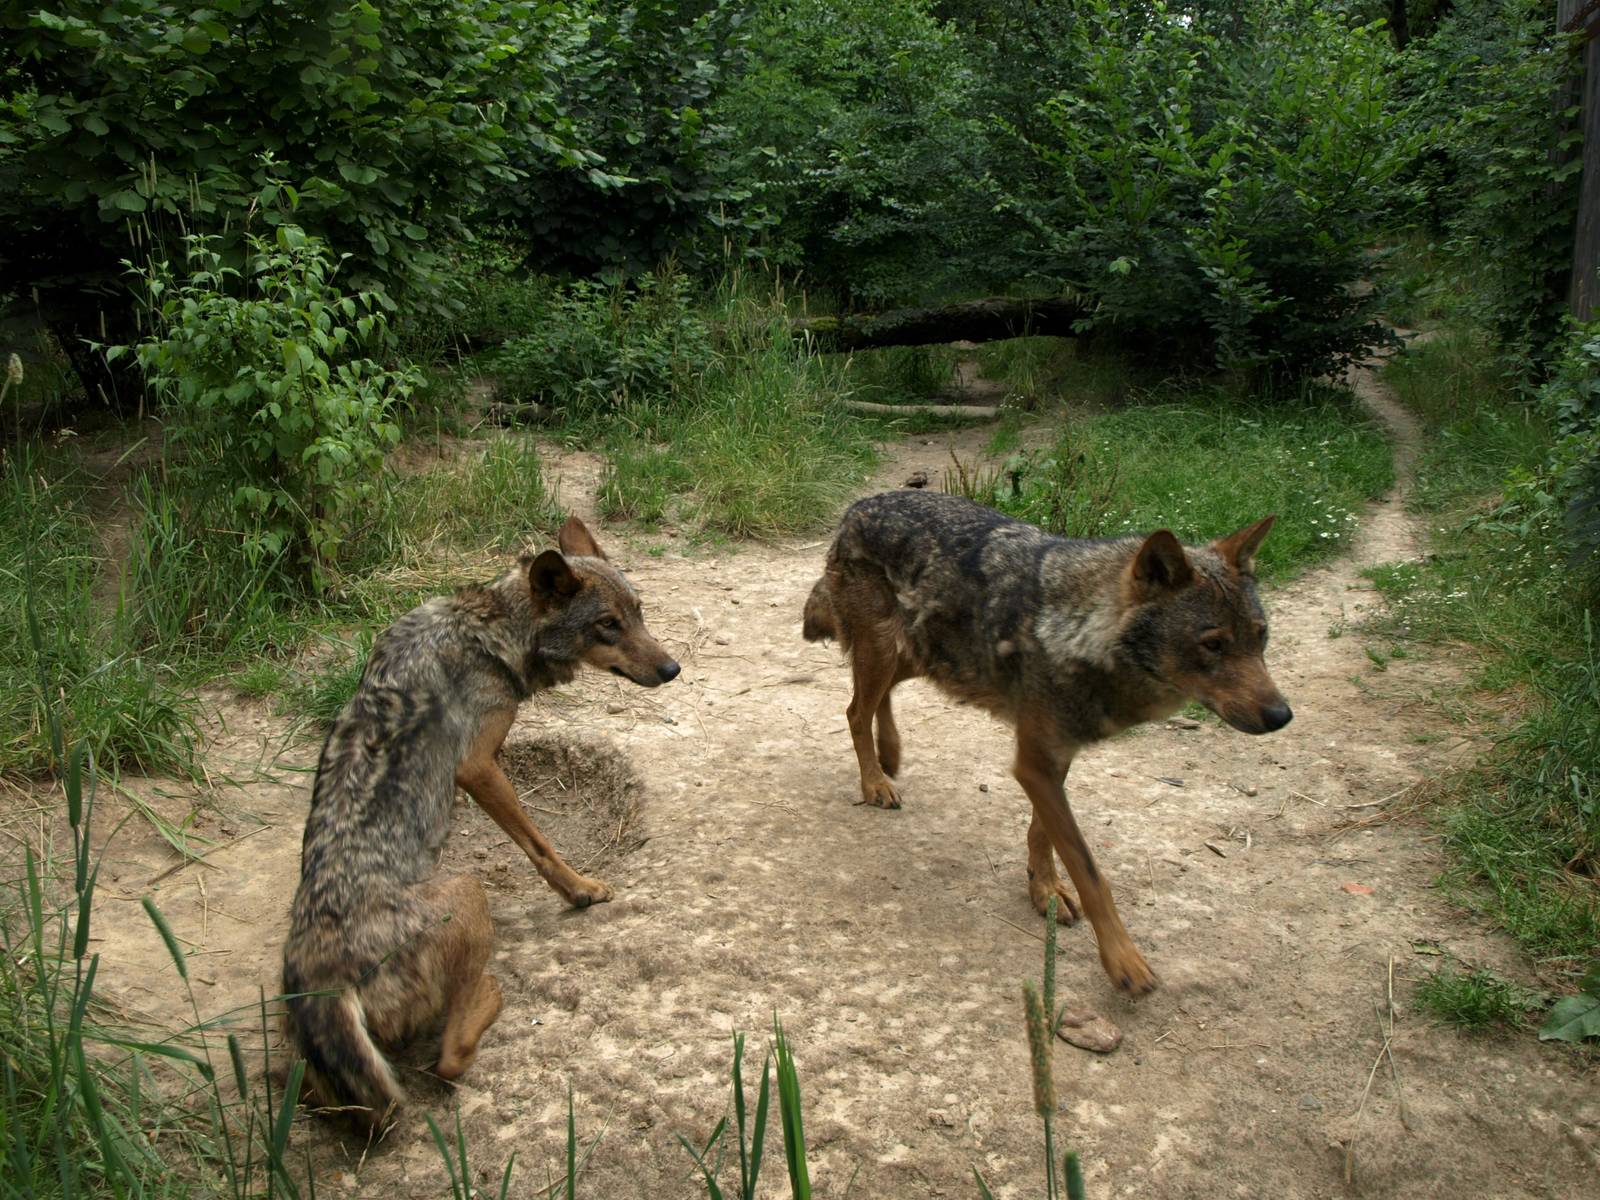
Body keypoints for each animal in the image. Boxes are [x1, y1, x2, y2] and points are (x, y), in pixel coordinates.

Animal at [282, 516, 679, 1128]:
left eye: (639, 613)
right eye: (608, 625)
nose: (672, 668)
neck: (490, 629)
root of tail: (325, 982)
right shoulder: (476, 765)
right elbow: (539, 844)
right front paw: (581, 889)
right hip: (470, 890)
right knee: (447, 1058)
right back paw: (490, 996)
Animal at [802, 491, 1292, 995]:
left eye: (1261, 636)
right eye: (1213, 644)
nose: (1281, 716)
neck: (1081, 628)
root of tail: (861, 504)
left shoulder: (1053, 756)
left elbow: (1043, 834)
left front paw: (1045, 890)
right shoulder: (1036, 762)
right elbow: (1089, 870)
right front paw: (1123, 960)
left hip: (928, 658)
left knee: (878, 696)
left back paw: (891, 754)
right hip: (890, 650)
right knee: (855, 710)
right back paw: (874, 782)